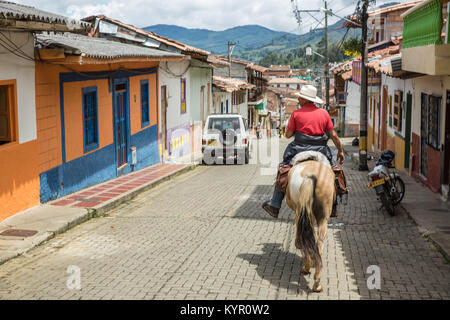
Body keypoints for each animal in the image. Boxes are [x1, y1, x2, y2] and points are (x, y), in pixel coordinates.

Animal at [284, 150, 338, 292]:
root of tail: (310, 175)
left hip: (303, 212)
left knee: (305, 239)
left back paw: (308, 268)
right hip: (322, 217)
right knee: (318, 242)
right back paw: (317, 281)